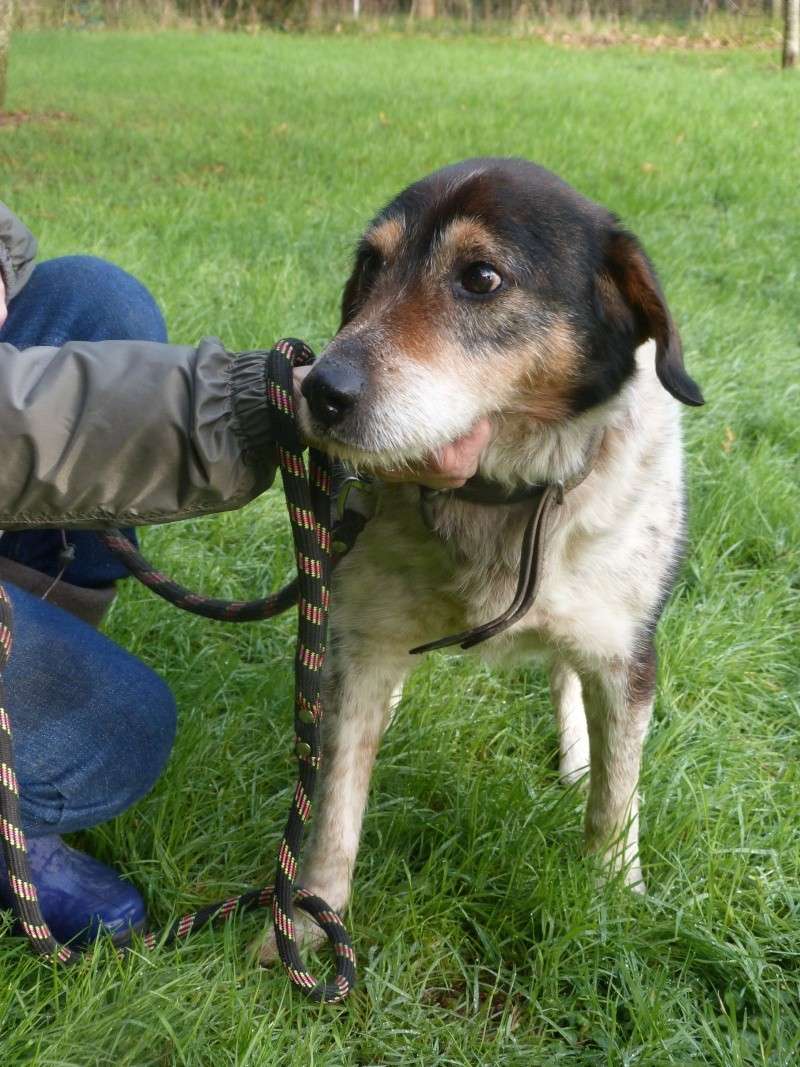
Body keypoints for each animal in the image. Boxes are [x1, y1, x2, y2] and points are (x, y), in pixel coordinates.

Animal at [260, 157, 704, 968]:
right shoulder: (363, 643)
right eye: (370, 266)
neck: (501, 497)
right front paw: (305, 926)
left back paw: (576, 753)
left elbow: (616, 799)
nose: (320, 392)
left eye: (481, 278)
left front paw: (612, 897)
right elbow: (335, 805)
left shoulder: (625, 654)